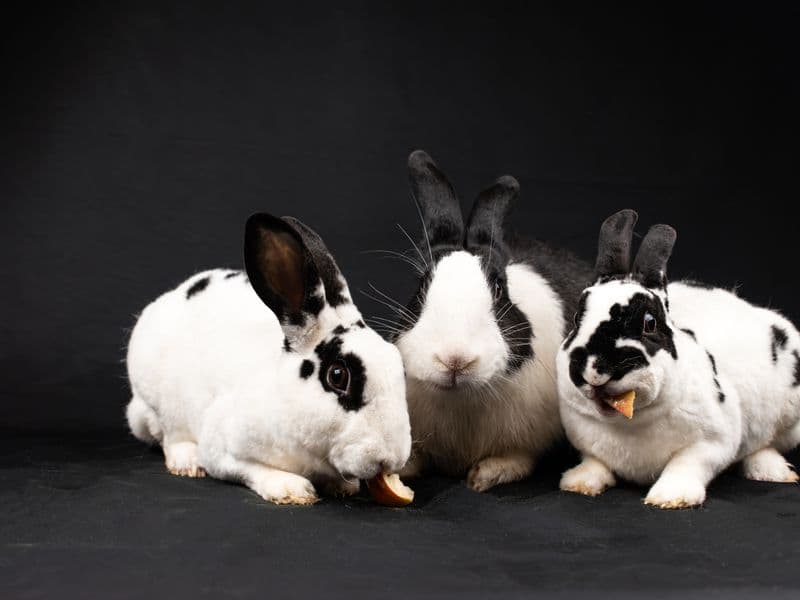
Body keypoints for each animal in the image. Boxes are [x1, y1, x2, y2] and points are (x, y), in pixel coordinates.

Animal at [126, 213, 411, 505]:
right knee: (170, 436)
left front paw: (343, 486)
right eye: (337, 375)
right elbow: (251, 468)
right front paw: (291, 490)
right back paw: (188, 462)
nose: (392, 459)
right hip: (160, 404)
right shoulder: (221, 448)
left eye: (398, 364)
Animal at [389, 150, 594, 491]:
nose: (455, 360)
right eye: (421, 285)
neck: (462, 400)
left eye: (499, 289)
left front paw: (487, 475)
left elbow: (518, 458)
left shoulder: (528, 439)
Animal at [557, 209, 800, 509]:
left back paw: (774, 472)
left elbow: (686, 464)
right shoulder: (586, 443)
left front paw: (671, 498)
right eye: (577, 318)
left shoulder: (712, 442)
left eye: (650, 323)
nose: (593, 369)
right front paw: (577, 483)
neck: (630, 422)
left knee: (766, 444)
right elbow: (595, 462)